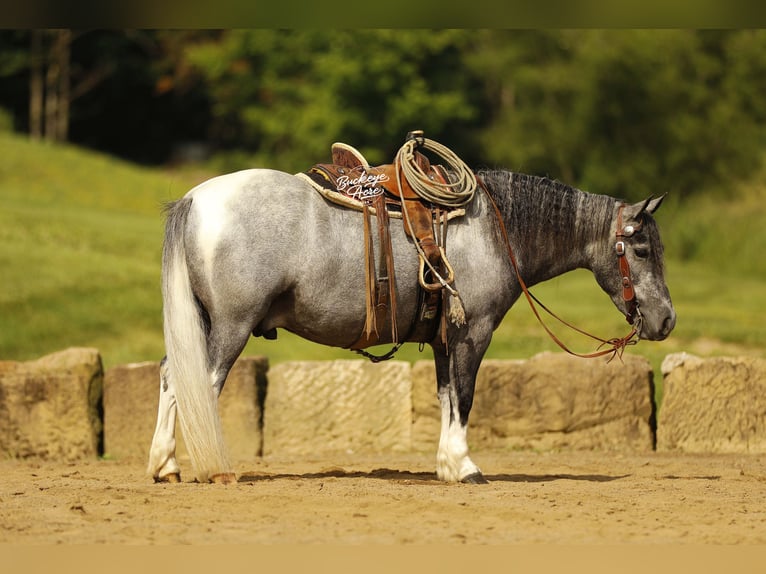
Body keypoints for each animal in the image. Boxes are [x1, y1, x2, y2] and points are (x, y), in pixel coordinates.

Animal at [147, 167, 675, 484]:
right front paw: (466, 466)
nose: (667, 319)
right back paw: (212, 467)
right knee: (199, 385)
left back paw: (165, 465)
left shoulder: (444, 340)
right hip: (231, 327)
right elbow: (465, 396)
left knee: (173, 379)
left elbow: (445, 397)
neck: (491, 231)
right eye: (641, 249)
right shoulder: (473, 333)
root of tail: (195, 198)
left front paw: (446, 466)